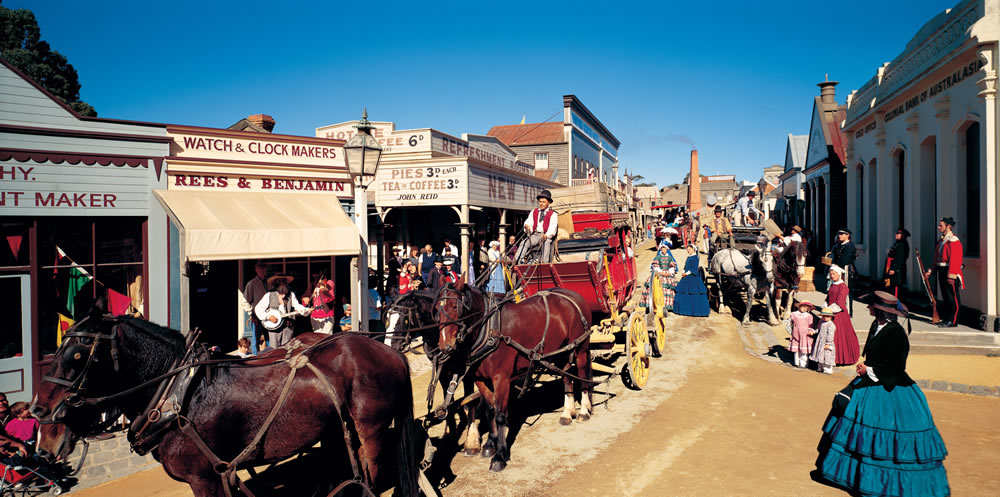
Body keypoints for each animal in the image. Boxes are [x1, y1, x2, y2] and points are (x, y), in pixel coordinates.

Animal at [28, 308, 418, 496]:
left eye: (79, 353)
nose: (38, 410)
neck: (177, 396)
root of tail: (387, 349)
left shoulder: (204, 478)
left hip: (371, 429)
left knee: (372, 473)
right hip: (336, 427)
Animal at [432, 278, 588, 470]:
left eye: (455, 306)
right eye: (437, 309)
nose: (444, 346)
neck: (490, 330)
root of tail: (572, 294)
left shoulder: (501, 379)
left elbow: (500, 415)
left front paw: (499, 455)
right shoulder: (480, 379)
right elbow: (490, 410)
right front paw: (490, 444)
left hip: (581, 348)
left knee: (583, 375)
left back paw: (584, 411)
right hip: (562, 351)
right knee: (566, 376)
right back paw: (567, 412)